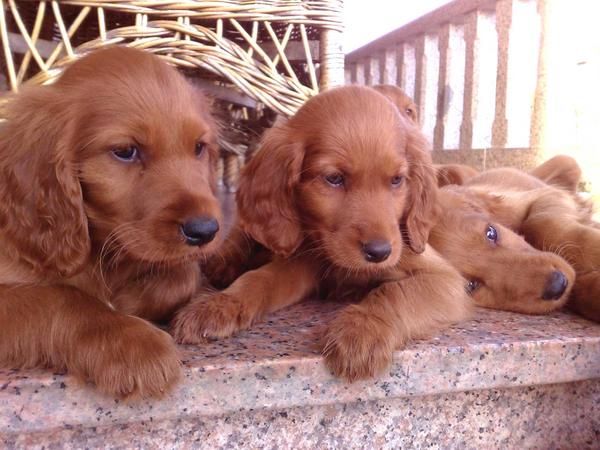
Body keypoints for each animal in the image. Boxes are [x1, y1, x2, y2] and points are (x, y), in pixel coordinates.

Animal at [0, 45, 223, 398]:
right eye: (125, 151)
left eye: (199, 147)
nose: (205, 231)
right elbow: (59, 296)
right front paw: (132, 341)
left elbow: (184, 274)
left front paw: (128, 300)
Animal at [171, 85, 472, 380]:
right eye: (334, 178)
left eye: (397, 180)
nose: (379, 252)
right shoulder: (301, 259)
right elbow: (260, 278)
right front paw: (219, 305)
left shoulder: (442, 278)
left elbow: (395, 293)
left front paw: (361, 330)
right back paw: (223, 262)